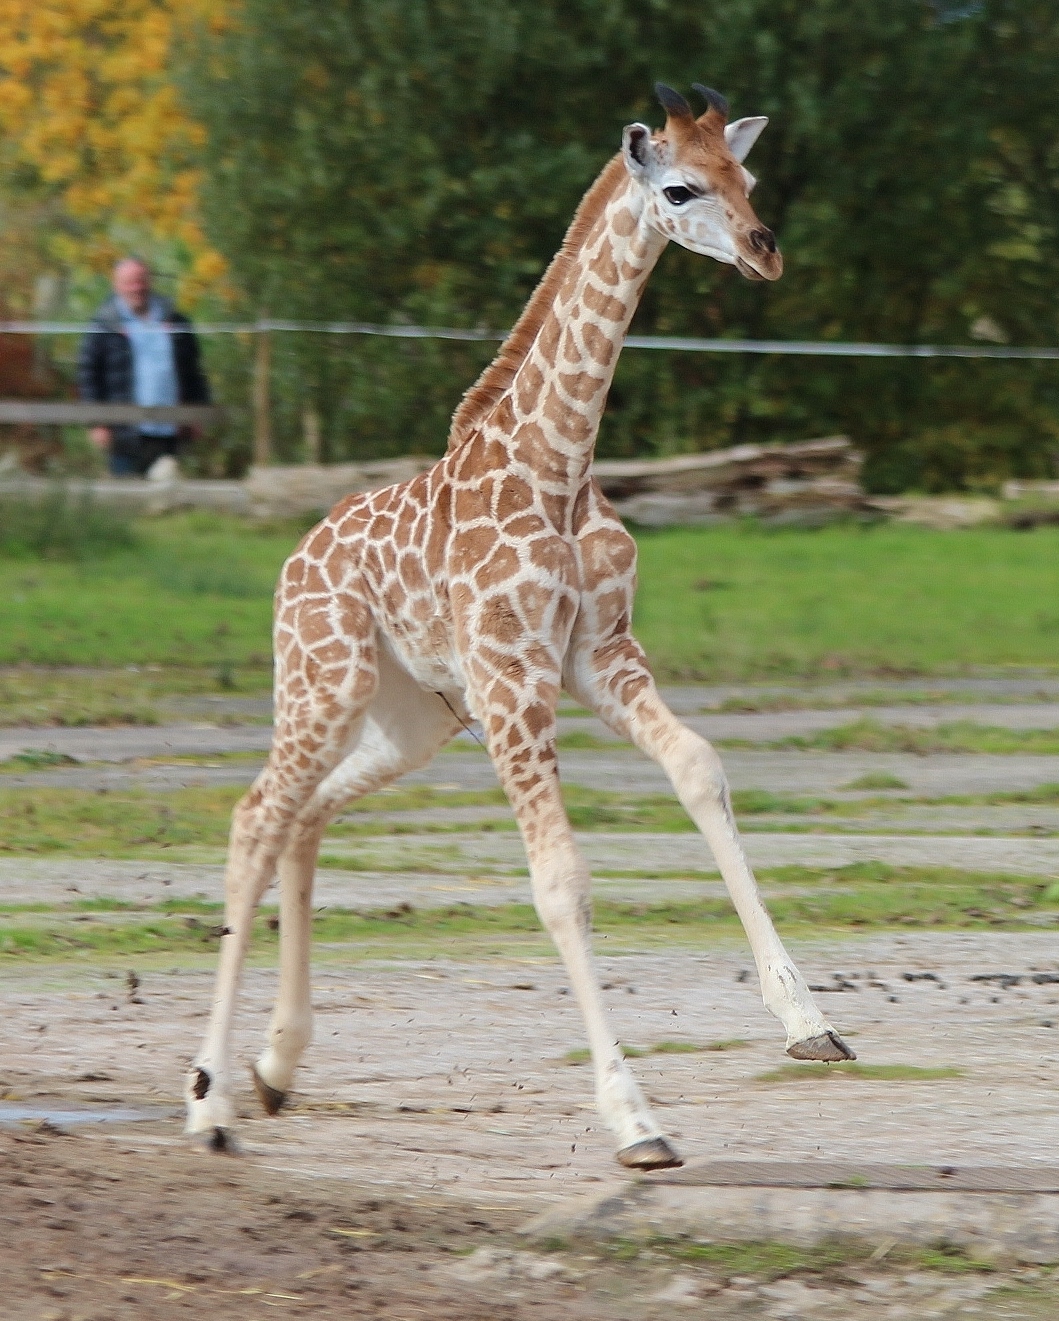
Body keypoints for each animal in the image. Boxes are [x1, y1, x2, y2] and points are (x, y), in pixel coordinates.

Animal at [186, 82, 854, 1172]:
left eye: (746, 174)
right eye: (680, 186)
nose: (764, 250)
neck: (561, 460)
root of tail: (295, 559)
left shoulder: (602, 653)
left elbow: (700, 767)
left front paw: (808, 1019)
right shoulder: (512, 678)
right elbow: (562, 879)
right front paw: (634, 1118)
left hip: (413, 716)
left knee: (305, 813)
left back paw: (277, 1065)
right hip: (325, 678)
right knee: (254, 818)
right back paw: (208, 1103)